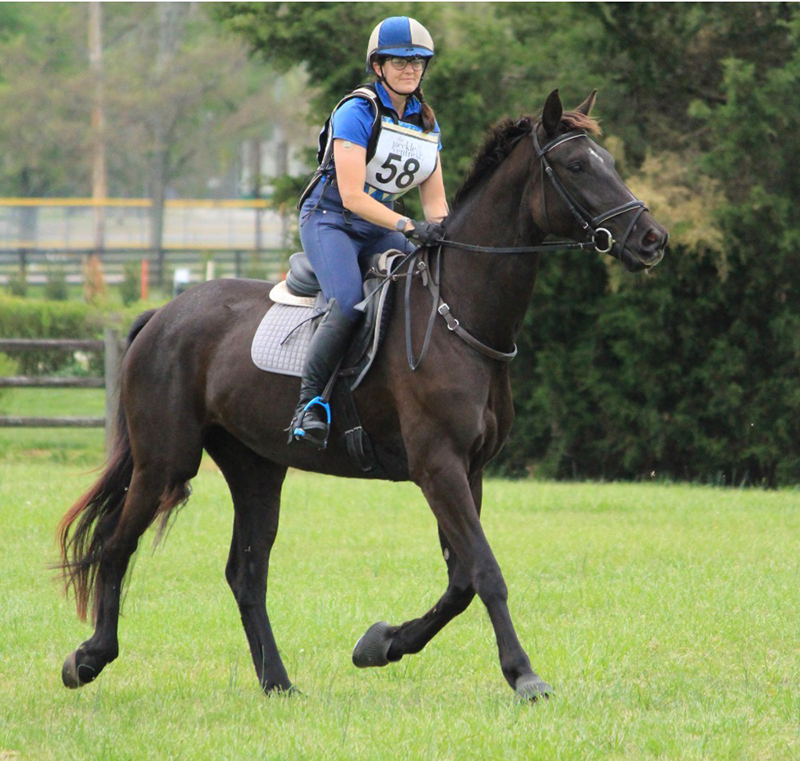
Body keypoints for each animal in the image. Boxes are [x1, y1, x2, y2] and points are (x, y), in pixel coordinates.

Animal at [58, 90, 668, 700]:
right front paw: (524, 675)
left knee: (245, 573)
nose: (652, 240)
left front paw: (381, 644)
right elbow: (485, 573)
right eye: (577, 166)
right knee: (116, 545)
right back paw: (87, 659)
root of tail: (163, 314)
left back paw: (277, 683)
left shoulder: (468, 469)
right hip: (166, 461)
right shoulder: (438, 467)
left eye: (609, 162)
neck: (457, 316)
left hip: (256, 468)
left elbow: (460, 582)